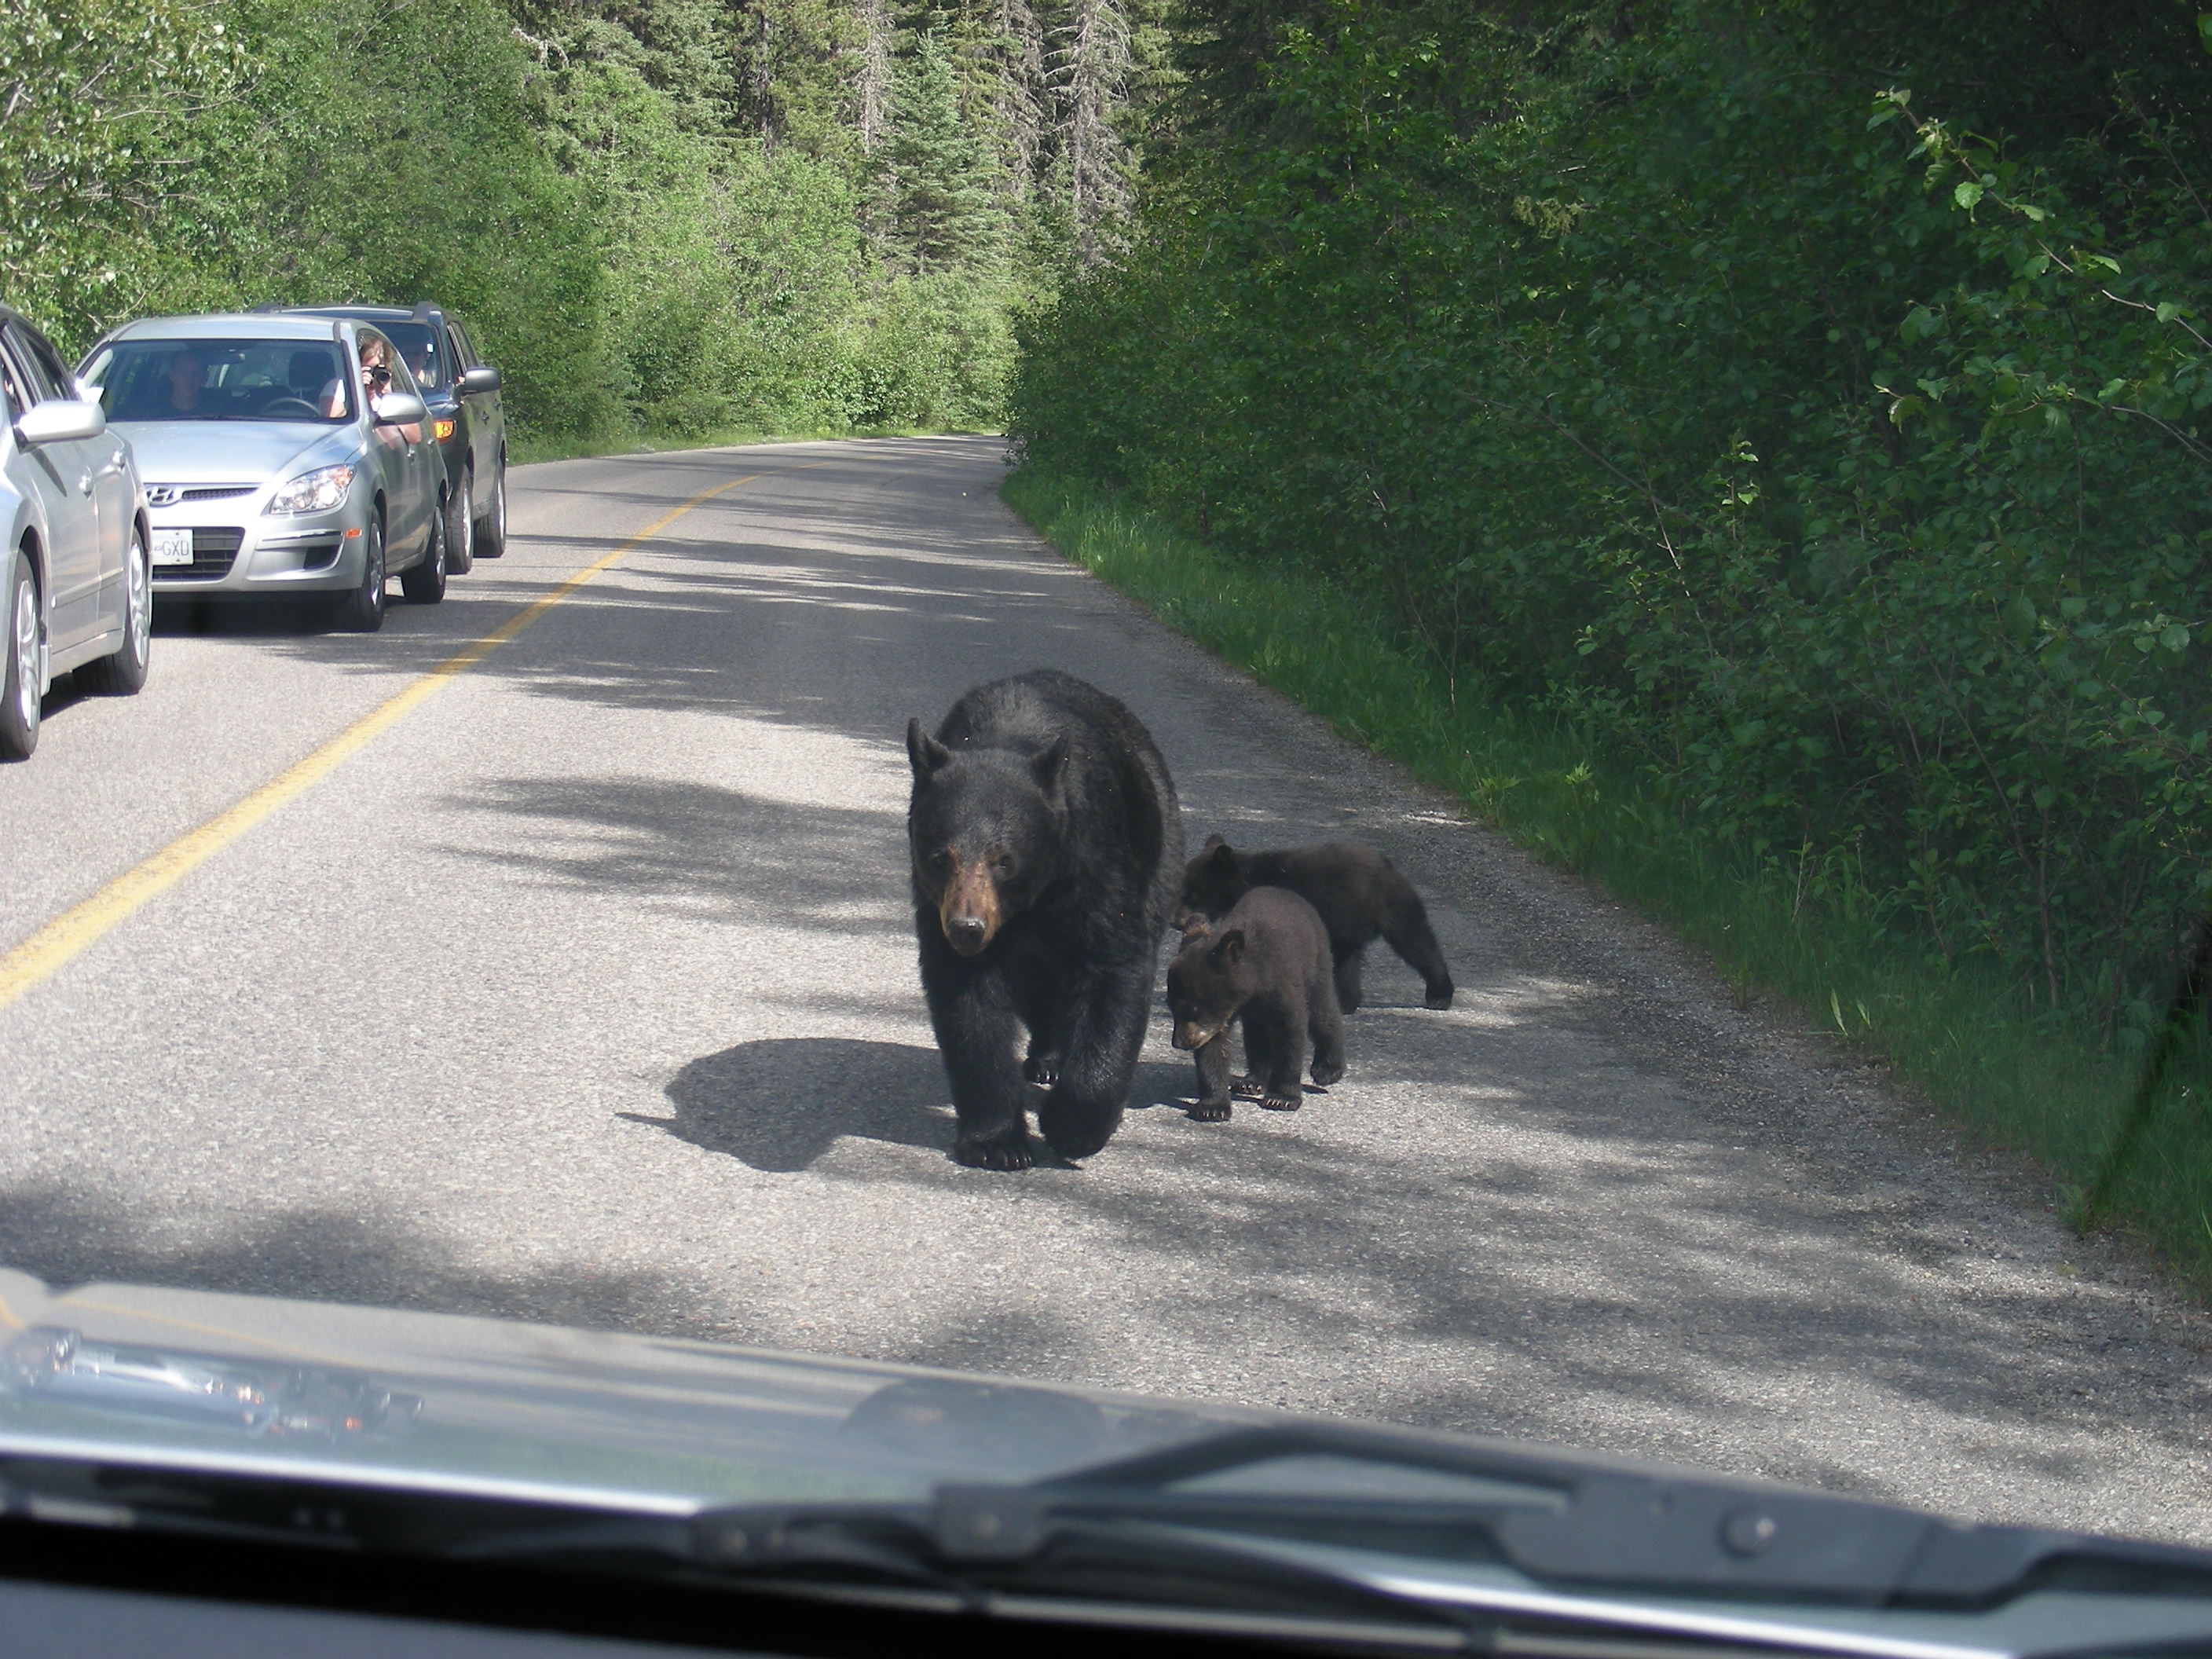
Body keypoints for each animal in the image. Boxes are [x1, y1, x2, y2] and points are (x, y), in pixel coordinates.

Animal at [906, 672, 1185, 1167]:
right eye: (940, 857)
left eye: (1004, 859)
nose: (966, 928)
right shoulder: (939, 910)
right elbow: (968, 1006)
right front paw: (996, 1141)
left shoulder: (1100, 866)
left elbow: (1113, 973)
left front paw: (1073, 1126)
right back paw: (1048, 1058)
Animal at [1167, 889, 1335, 1123]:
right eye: (1172, 1009)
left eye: (1192, 1010)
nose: (1180, 1043)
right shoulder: (1220, 1017)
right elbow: (1214, 1048)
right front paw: (1212, 1106)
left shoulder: (1282, 981)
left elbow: (1291, 1032)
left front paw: (1282, 1098)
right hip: (1257, 1014)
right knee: (1257, 1034)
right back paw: (1253, 1081)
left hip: (1316, 961)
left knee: (1322, 1013)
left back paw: (1328, 1069)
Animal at [1177, 844, 1451, 1013]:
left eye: (1192, 893)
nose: (1176, 921)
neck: (1249, 880)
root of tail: (1392, 869)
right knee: (1348, 963)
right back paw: (1346, 1002)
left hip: (1391, 906)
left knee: (1417, 942)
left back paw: (1440, 994)